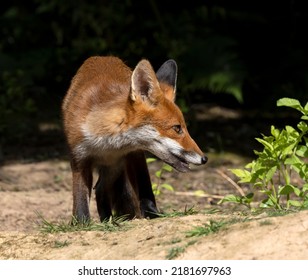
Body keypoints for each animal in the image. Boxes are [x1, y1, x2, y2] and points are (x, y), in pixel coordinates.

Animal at [61, 55, 207, 222]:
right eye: (177, 128)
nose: (204, 158)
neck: (107, 144)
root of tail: (103, 57)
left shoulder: (135, 154)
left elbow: (146, 189)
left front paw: (152, 214)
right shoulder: (79, 158)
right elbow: (80, 202)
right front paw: (81, 223)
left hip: (116, 168)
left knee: (101, 189)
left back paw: (110, 219)